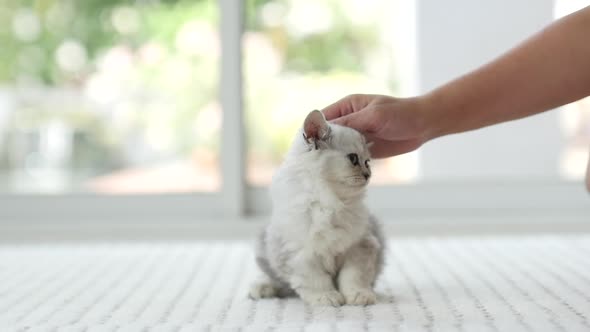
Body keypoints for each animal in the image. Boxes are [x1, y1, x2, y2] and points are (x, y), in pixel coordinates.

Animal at [249, 110, 384, 308]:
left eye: (367, 162)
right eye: (353, 158)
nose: (368, 175)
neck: (327, 201)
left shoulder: (360, 246)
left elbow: (353, 277)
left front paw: (359, 296)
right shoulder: (301, 253)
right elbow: (315, 280)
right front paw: (326, 297)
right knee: (276, 281)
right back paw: (262, 288)